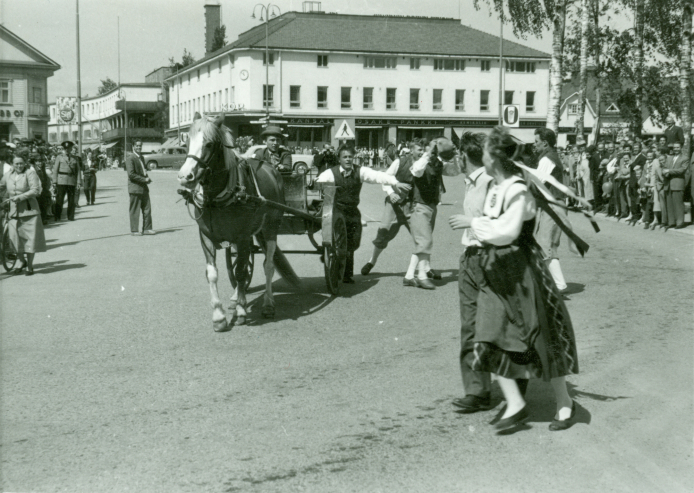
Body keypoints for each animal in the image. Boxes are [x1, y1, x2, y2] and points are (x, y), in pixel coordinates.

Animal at [177, 112, 300, 330]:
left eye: (209, 144)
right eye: (187, 142)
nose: (185, 176)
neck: (217, 196)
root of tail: (272, 168)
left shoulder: (242, 237)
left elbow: (242, 272)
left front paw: (242, 311)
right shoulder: (206, 237)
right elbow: (215, 273)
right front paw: (219, 316)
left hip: (270, 228)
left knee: (268, 265)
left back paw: (267, 304)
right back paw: (237, 297)